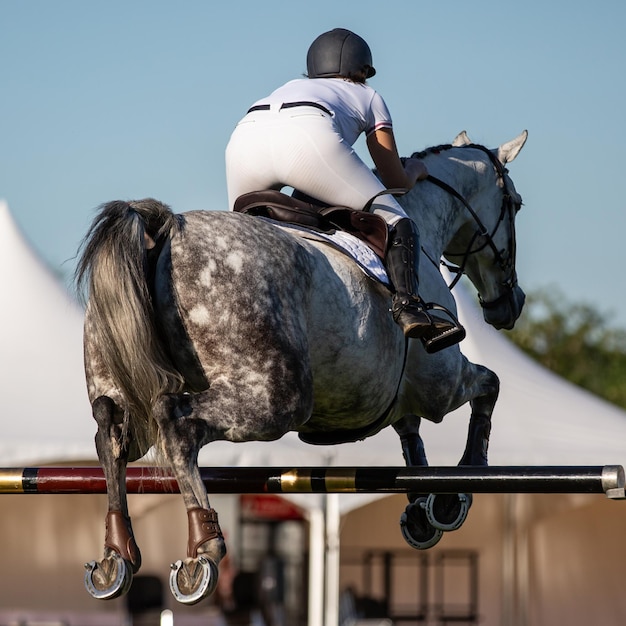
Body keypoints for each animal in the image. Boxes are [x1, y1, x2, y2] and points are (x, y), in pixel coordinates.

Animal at [78, 129, 528, 604]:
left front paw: (422, 511)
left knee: (111, 435)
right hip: (277, 398)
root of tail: (165, 229)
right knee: (175, 422)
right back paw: (204, 546)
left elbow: (410, 435)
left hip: (126, 395)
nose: (510, 305)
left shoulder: (393, 394)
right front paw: (453, 493)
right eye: (515, 204)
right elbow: (490, 385)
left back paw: (116, 555)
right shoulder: (441, 384)